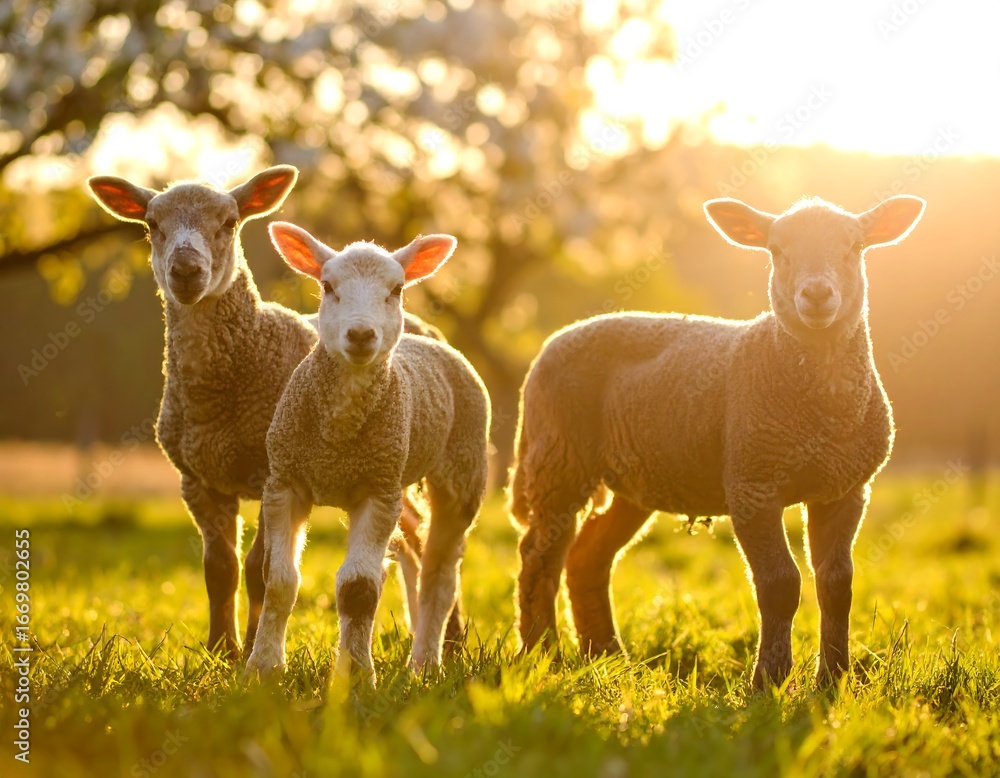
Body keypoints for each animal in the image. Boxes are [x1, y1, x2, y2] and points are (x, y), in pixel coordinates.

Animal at [85, 167, 460, 658]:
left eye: (230, 221)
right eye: (151, 224)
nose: (186, 271)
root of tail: (425, 327)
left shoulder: (269, 472)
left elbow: (255, 568)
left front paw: (248, 648)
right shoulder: (197, 480)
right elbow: (219, 568)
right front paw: (220, 648)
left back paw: (449, 642)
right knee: (413, 540)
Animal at [245, 223, 490, 684]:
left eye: (396, 289)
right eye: (327, 286)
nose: (360, 336)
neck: (338, 437)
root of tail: (427, 339)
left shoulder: (376, 490)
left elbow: (358, 589)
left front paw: (356, 675)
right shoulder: (284, 481)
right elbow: (279, 580)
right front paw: (263, 669)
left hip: (460, 475)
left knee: (439, 578)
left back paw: (424, 664)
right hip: (400, 480)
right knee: (409, 557)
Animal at [509, 194, 925, 688]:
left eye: (855, 246)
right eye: (776, 250)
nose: (817, 295)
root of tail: (549, 345)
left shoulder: (845, 489)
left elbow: (837, 583)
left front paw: (834, 679)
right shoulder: (752, 483)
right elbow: (780, 583)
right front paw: (769, 679)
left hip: (634, 478)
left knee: (588, 557)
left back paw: (607, 655)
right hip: (558, 458)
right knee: (538, 556)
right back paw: (543, 654)